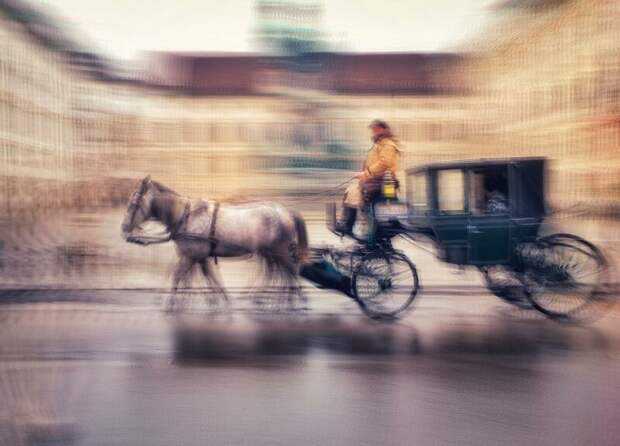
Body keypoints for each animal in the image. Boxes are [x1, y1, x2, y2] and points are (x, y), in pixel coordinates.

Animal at [121, 177, 308, 310]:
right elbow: (209, 277)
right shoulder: (198, 256)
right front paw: (219, 299)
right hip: (270, 252)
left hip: (280, 251)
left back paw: (293, 299)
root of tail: (286, 212)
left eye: (133, 203)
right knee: (277, 272)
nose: (124, 228)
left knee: (290, 271)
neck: (185, 215)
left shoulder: (191, 256)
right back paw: (273, 298)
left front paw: (171, 302)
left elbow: (179, 275)